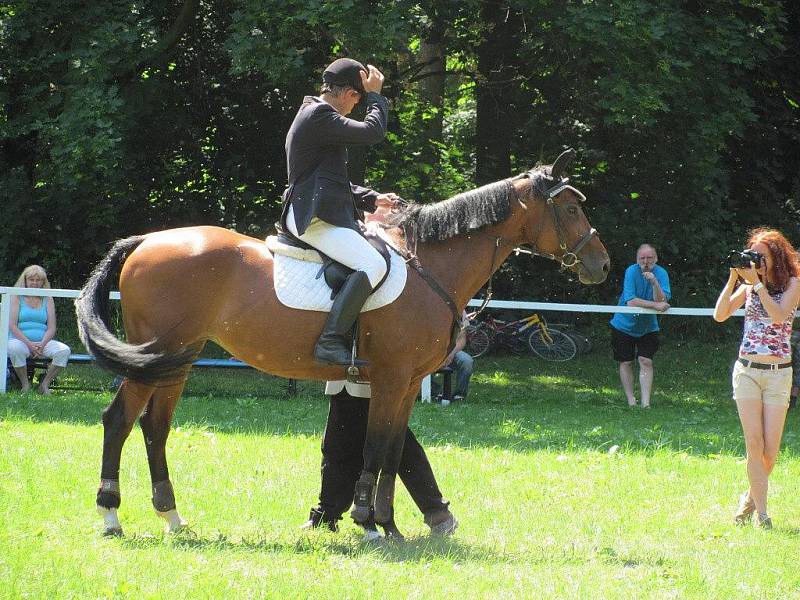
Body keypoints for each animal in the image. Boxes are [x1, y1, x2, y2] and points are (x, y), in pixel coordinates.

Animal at [75, 151, 608, 540]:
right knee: (119, 420)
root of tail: (146, 241)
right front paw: (369, 524)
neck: (430, 267)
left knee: (155, 427)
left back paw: (171, 516)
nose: (601, 265)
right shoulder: (391, 380)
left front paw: (388, 525)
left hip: (175, 362)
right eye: (571, 208)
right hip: (155, 357)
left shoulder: (406, 384)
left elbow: (392, 451)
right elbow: (374, 448)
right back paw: (111, 516)